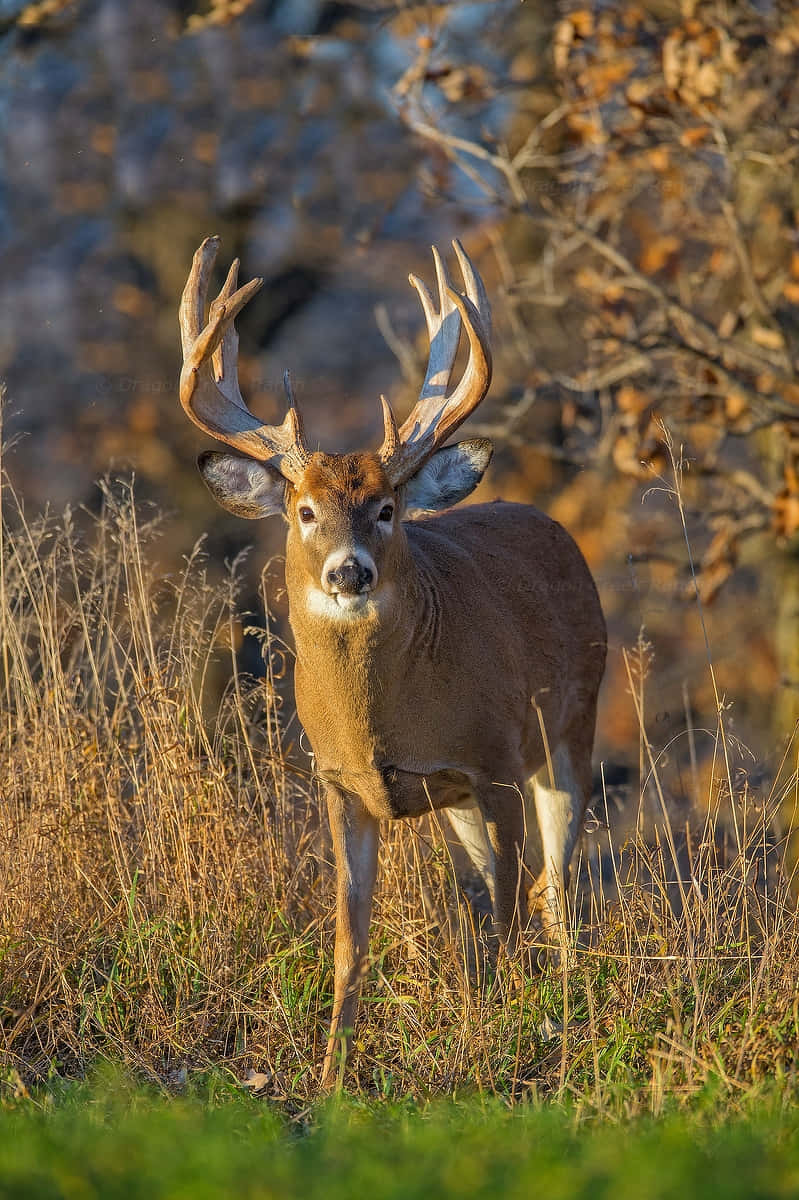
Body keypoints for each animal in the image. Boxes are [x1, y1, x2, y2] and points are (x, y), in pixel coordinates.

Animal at [178, 235, 606, 1088]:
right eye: (305, 510)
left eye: (385, 508)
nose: (349, 573)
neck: (385, 722)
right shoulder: (341, 784)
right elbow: (351, 939)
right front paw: (331, 1075)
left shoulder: (493, 761)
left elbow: (505, 918)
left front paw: (496, 1039)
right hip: (466, 800)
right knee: (518, 889)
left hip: (570, 726)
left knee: (554, 886)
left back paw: (567, 1004)